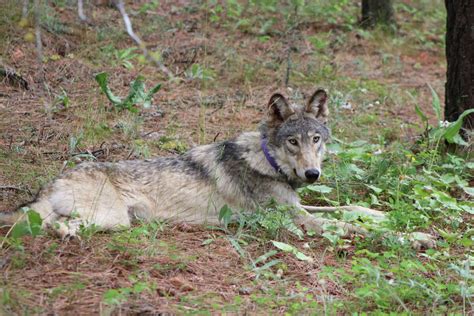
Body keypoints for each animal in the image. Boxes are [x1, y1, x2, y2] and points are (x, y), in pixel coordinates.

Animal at [0, 89, 436, 249]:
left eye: (316, 139)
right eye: (292, 142)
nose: (313, 175)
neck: (268, 162)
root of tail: (52, 181)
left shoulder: (298, 207)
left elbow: (351, 209)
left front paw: (384, 215)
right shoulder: (296, 221)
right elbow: (348, 226)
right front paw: (414, 237)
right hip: (112, 219)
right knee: (52, 226)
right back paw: (65, 235)